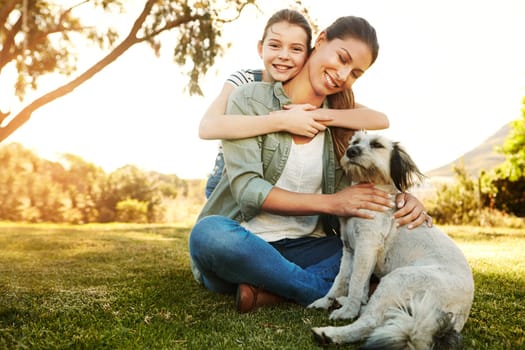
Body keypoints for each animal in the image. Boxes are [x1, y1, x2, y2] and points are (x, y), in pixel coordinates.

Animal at [308, 132, 474, 350]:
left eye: (377, 145)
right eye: (355, 142)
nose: (350, 151)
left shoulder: (366, 246)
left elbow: (355, 282)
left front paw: (347, 312)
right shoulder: (350, 250)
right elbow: (342, 280)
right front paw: (327, 300)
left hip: (397, 280)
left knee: (370, 322)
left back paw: (329, 334)